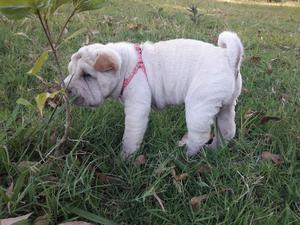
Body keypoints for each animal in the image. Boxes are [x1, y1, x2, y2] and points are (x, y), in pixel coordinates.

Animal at [63, 31, 244, 158]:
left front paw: (125, 158)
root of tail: (228, 57)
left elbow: (131, 136)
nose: (65, 87)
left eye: (87, 75)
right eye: (70, 70)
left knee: (199, 136)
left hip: (199, 106)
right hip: (226, 106)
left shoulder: (137, 108)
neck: (126, 66)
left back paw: (185, 154)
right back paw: (213, 150)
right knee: (227, 130)